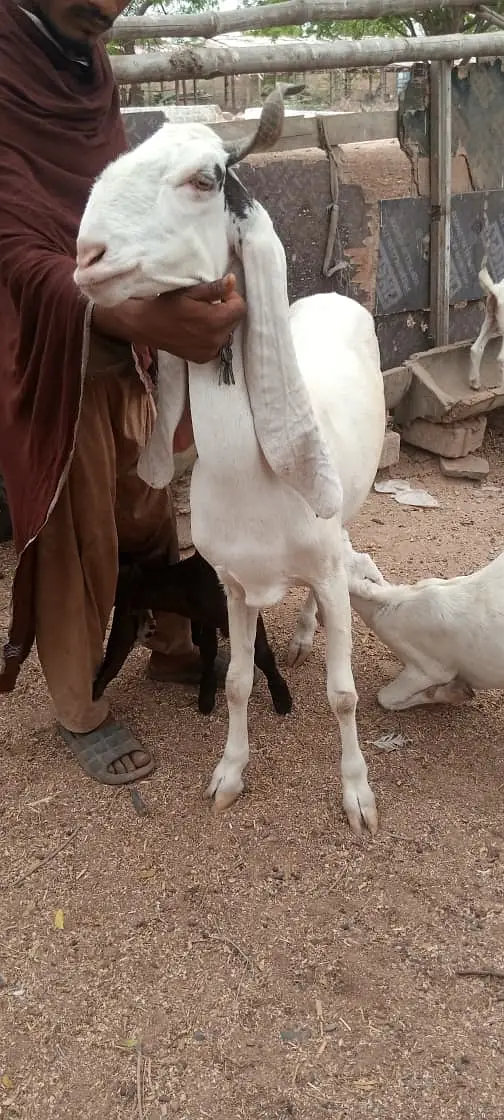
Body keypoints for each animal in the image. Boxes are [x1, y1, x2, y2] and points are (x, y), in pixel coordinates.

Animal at [93, 550, 292, 717]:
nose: (95, 690)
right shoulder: (206, 619)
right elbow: (208, 650)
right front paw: (206, 695)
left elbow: (263, 654)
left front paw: (282, 699)